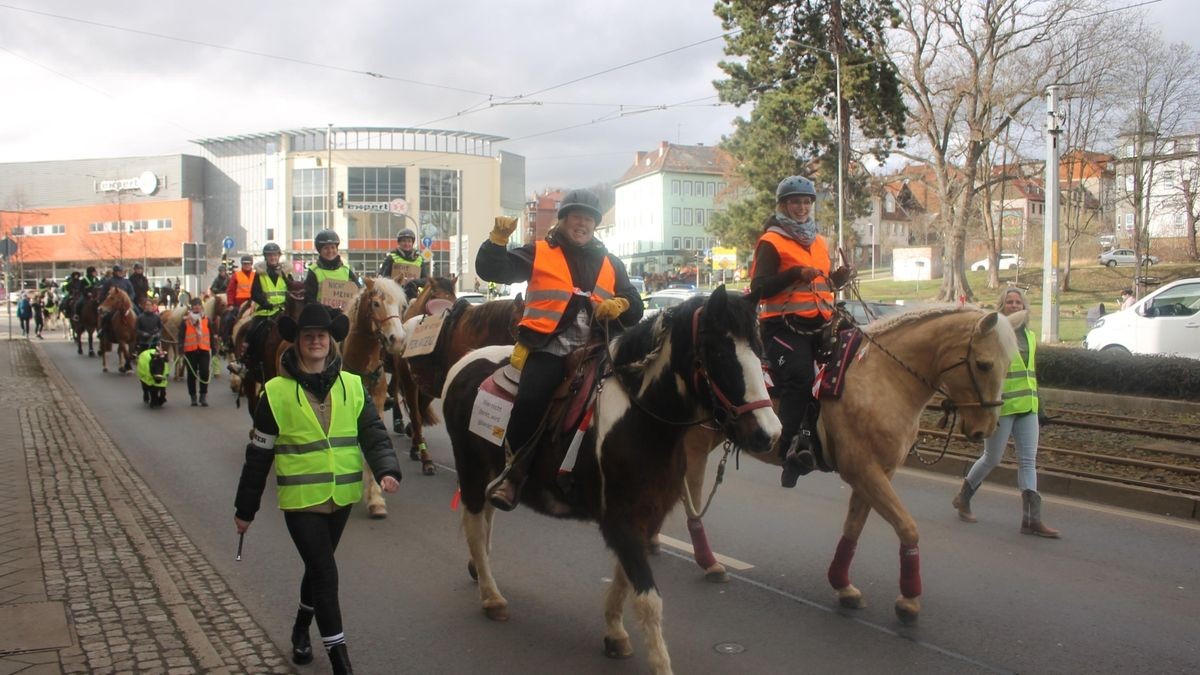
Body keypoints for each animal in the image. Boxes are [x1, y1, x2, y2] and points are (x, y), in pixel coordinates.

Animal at [391, 276, 456, 470]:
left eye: (454, 296)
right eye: (434, 295)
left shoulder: (430, 386)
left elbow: (419, 411)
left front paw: (416, 443)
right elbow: (415, 412)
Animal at [441, 288, 777, 672]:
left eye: (760, 349)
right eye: (719, 352)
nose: (769, 434)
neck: (642, 421)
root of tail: (465, 362)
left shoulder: (645, 519)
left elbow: (624, 580)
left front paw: (615, 634)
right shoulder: (621, 520)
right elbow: (647, 598)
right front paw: (659, 662)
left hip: (491, 471)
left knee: (487, 516)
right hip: (469, 469)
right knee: (474, 525)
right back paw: (491, 596)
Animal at [676, 303, 1022, 619]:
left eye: (1010, 365)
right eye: (984, 364)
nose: (985, 429)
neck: (882, 376)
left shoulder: (876, 472)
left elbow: (854, 527)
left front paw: (842, 583)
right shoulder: (863, 470)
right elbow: (908, 527)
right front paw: (909, 599)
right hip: (694, 445)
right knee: (691, 503)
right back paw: (709, 562)